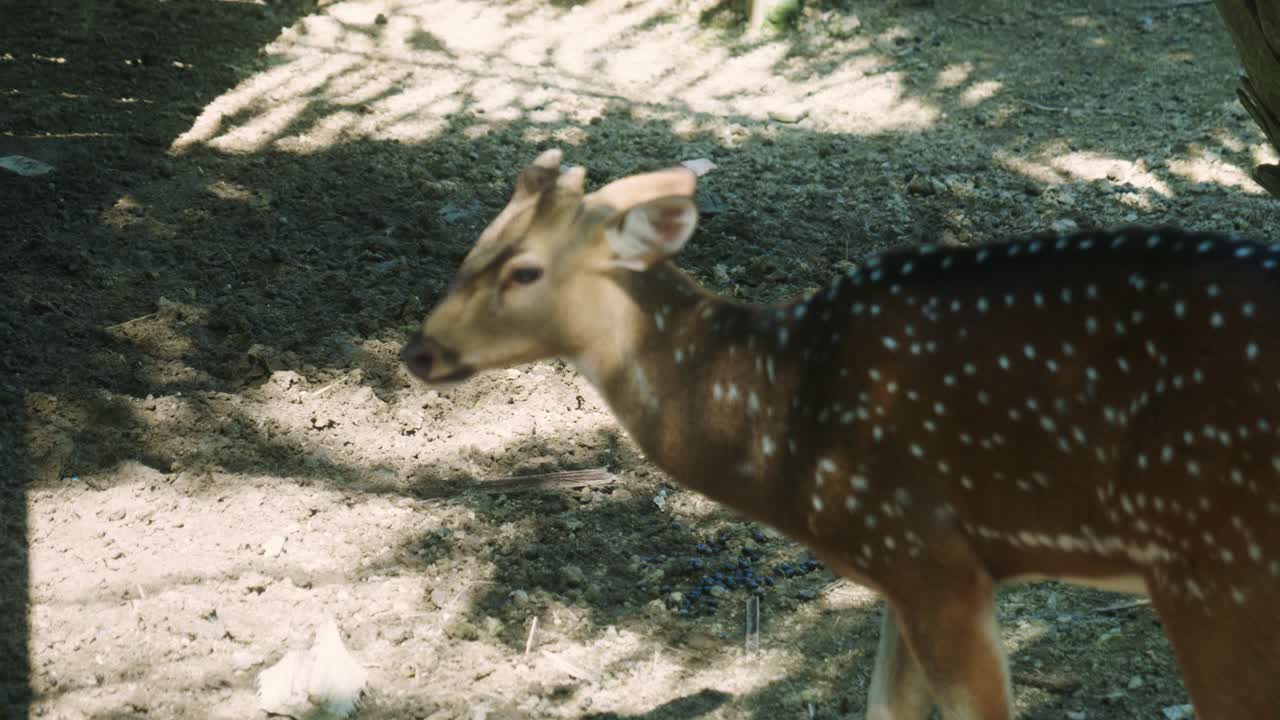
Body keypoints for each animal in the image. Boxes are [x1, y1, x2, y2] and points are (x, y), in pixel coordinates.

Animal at [401, 149, 1280, 719]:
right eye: (476, 245)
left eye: (523, 270)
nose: (418, 351)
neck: (780, 421)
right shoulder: (912, 568)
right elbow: (883, 709)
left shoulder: (928, 553)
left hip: (1212, 561)